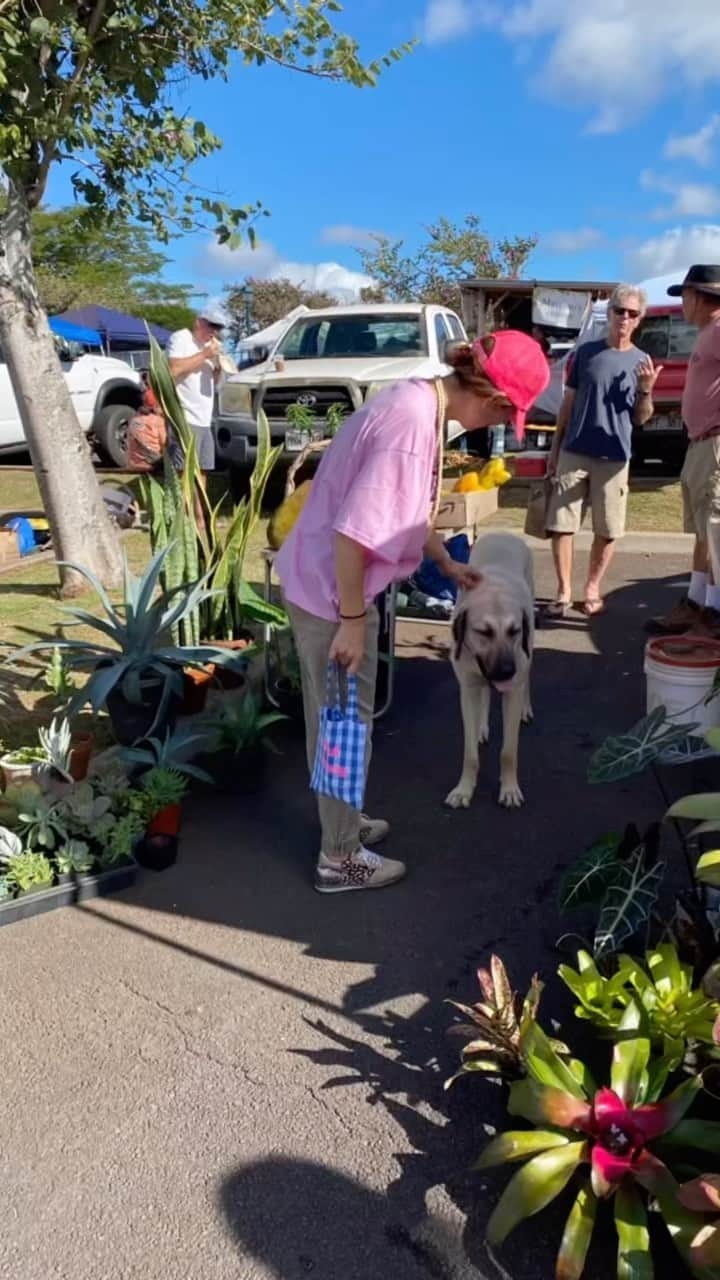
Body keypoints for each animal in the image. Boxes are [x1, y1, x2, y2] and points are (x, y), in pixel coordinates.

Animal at [443, 532, 532, 808]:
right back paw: (482, 727)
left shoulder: (513, 689)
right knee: (485, 694)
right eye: (483, 632)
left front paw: (510, 789)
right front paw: (464, 789)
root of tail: (503, 533)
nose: (506, 671)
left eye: (515, 631)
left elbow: (508, 752)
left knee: (527, 679)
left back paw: (526, 708)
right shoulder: (468, 688)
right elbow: (470, 753)